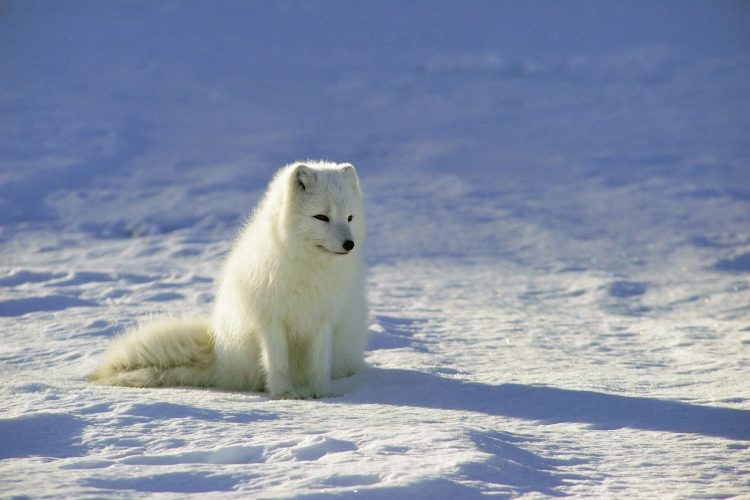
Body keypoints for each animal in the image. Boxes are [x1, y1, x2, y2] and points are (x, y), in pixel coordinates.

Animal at [89, 161, 369, 399]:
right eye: (321, 217)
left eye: (349, 217)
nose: (349, 244)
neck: (309, 268)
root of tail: (221, 358)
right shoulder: (270, 320)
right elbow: (277, 364)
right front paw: (285, 395)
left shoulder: (324, 320)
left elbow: (320, 365)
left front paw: (322, 394)